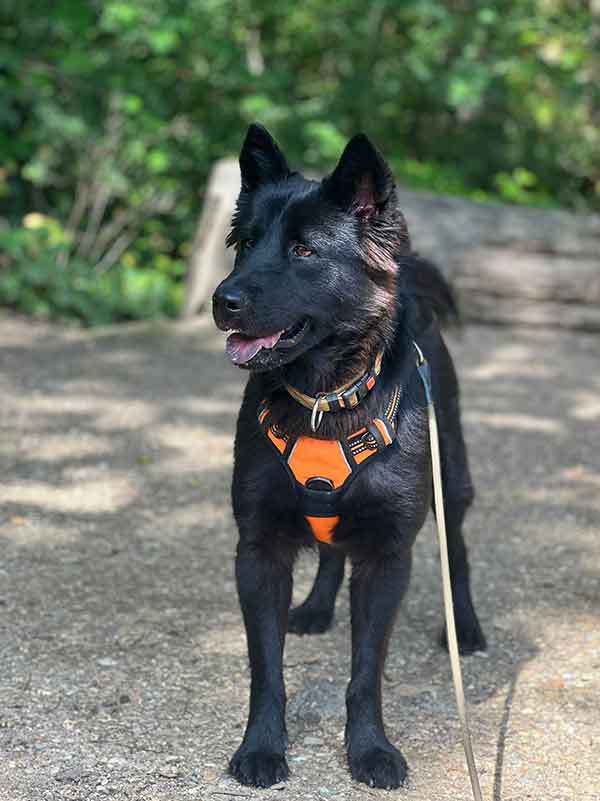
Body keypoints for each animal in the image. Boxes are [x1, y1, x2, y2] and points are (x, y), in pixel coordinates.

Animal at [213, 125, 486, 788]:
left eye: (304, 251)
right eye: (246, 244)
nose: (221, 299)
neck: (325, 400)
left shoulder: (387, 557)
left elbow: (366, 673)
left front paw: (370, 750)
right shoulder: (258, 551)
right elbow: (267, 670)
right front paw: (262, 747)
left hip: (452, 479)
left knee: (459, 553)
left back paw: (465, 627)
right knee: (332, 551)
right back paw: (315, 607)